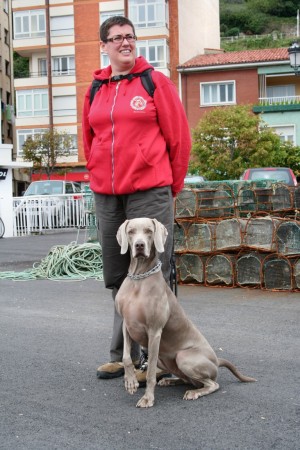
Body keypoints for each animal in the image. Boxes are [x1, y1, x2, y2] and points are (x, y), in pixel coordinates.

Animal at [115, 218, 255, 408]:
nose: (139, 245)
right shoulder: (127, 325)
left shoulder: (154, 331)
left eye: (149, 231)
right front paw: (130, 382)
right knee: (188, 379)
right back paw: (170, 381)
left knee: (212, 384)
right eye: (130, 232)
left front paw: (148, 398)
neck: (139, 278)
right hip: (164, 359)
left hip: (184, 357)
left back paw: (193, 393)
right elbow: (126, 357)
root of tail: (216, 360)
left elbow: (150, 371)